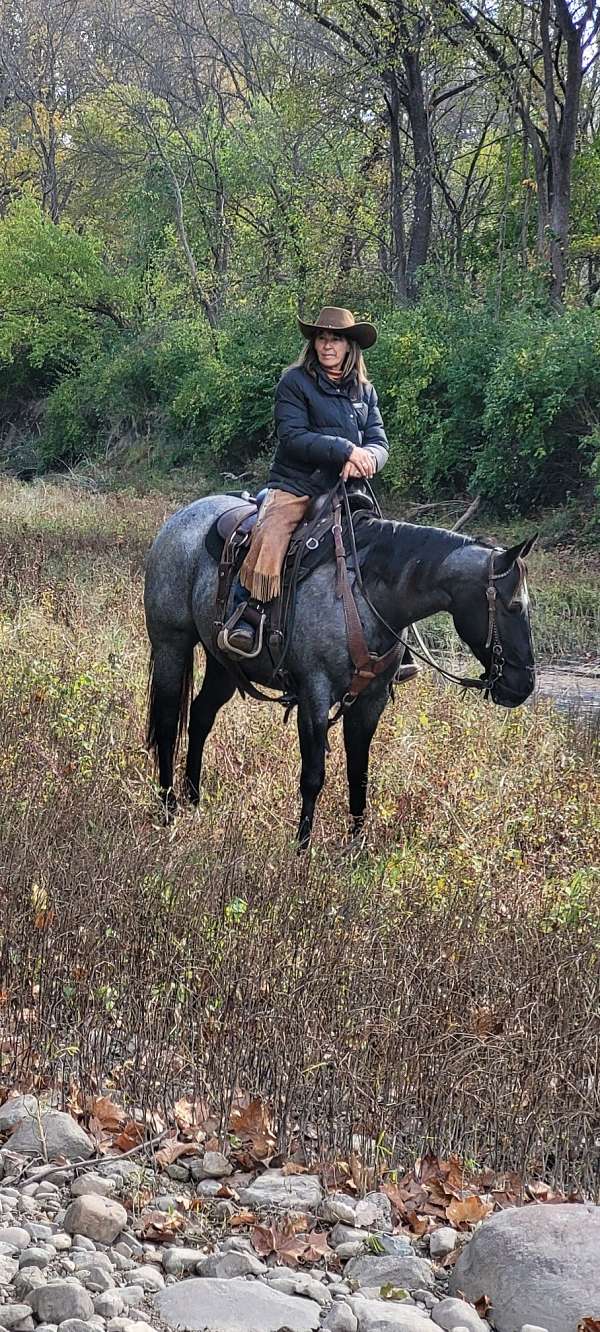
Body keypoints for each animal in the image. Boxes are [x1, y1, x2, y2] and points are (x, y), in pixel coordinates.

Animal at [144, 495, 533, 847]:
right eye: (514, 606)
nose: (523, 685)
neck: (366, 596)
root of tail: (180, 518)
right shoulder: (314, 695)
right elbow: (313, 776)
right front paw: (301, 849)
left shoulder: (371, 702)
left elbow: (358, 774)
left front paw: (356, 847)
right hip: (171, 645)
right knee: (167, 723)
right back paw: (168, 808)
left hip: (224, 665)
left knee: (200, 717)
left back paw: (194, 799)